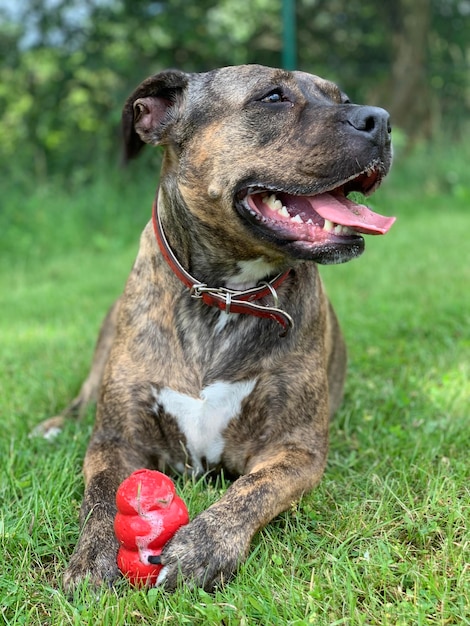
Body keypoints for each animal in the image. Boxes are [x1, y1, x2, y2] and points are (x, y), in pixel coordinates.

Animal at [38, 63, 394, 588]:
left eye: (341, 98)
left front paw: (201, 547)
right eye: (272, 97)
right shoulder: (115, 441)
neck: (224, 296)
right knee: (80, 401)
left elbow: (253, 489)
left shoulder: (295, 449)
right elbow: (100, 496)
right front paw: (93, 556)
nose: (382, 120)